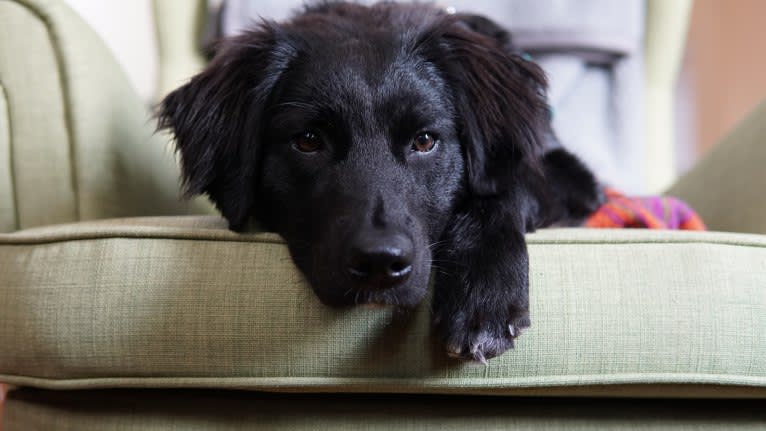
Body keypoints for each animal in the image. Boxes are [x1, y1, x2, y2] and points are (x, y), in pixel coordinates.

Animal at [159, 1, 604, 362]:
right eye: (308, 140)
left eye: (424, 140)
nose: (379, 263)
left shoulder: (574, 181)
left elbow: (505, 189)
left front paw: (483, 294)